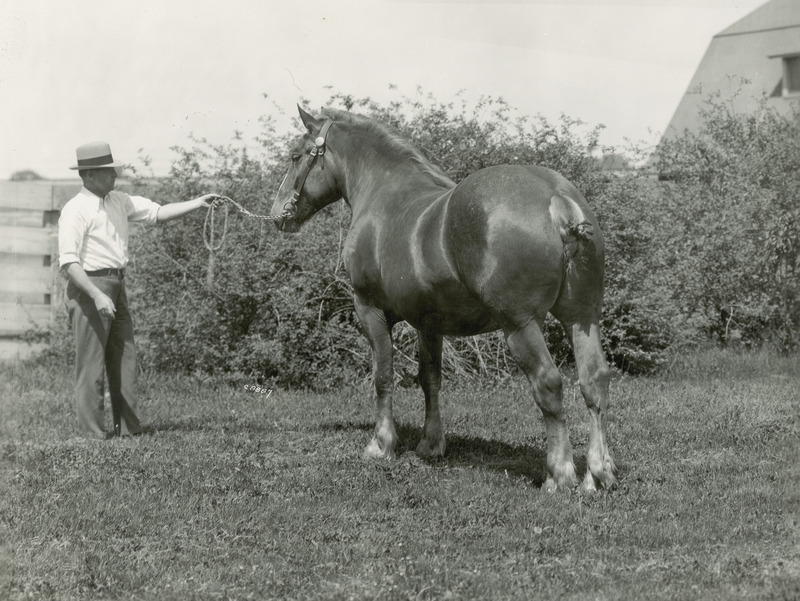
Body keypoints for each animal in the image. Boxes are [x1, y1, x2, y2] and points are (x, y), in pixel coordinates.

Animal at [272, 105, 616, 490]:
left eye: (296, 156)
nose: (278, 213)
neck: (384, 192)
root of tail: (558, 199)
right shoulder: (429, 323)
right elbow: (430, 380)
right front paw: (431, 444)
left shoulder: (369, 309)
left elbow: (383, 375)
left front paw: (381, 444)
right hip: (582, 318)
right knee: (594, 380)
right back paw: (597, 474)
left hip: (520, 325)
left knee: (548, 383)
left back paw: (560, 474)